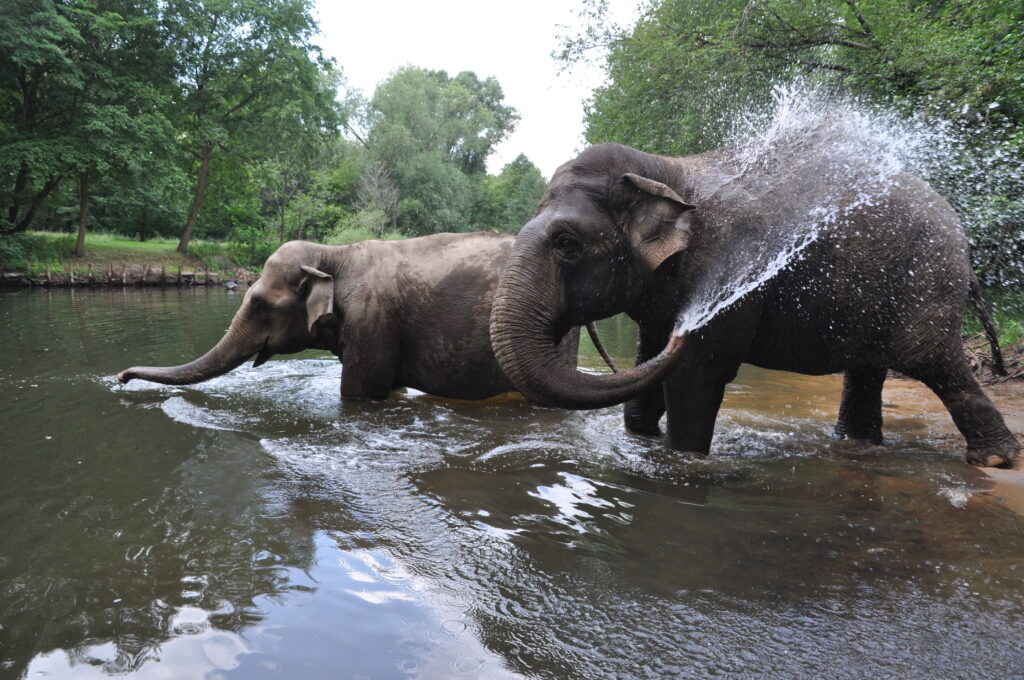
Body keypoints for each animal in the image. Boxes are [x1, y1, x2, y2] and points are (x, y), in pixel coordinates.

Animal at [491, 139, 1019, 466]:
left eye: (568, 244)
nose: (683, 331)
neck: (664, 167)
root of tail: (961, 233)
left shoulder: (728, 264)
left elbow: (695, 375)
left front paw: (683, 458)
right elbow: (649, 362)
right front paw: (645, 439)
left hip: (926, 279)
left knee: (933, 360)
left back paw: (996, 458)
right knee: (869, 367)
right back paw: (856, 444)